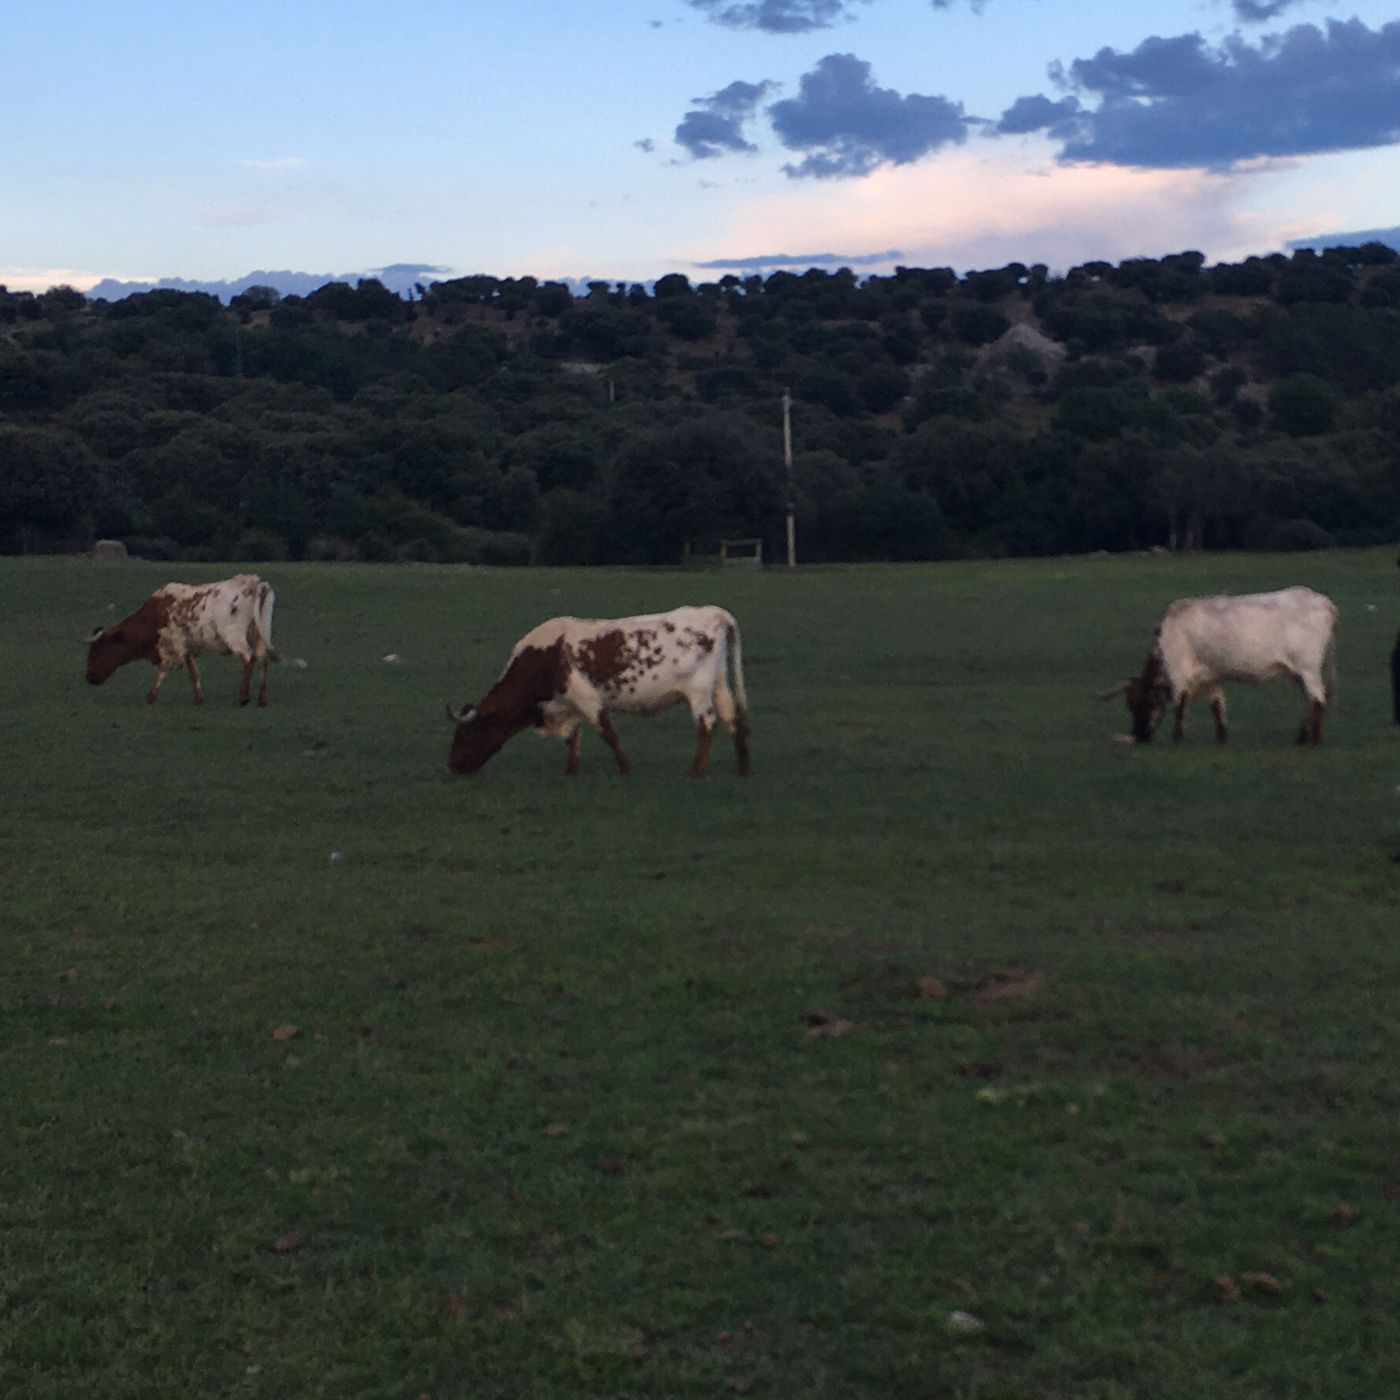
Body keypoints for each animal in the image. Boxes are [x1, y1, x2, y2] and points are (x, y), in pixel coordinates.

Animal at [86, 574, 279, 706]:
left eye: (98, 649)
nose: (88, 677)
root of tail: (254, 582)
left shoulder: (171, 645)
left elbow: (163, 669)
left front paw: (151, 696)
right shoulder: (186, 647)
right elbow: (193, 672)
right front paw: (198, 698)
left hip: (235, 637)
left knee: (249, 659)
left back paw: (244, 696)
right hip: (260, 634)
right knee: (263, 659)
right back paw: (262, 699)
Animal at [447, 606, 750, 777]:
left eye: (465, 733)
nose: (452, 766)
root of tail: (711, 612)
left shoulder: (588, 699)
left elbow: (608, 734)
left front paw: (625, 770)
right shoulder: (568, 705)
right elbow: (573, 739)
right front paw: (571, 772)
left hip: (698, 692)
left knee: (707, 725)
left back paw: (695, 772)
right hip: (719, 685)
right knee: (732, 718)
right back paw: (742, 767)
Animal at [1098, 586, 1338, 746]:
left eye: (1144, 703)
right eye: (1129, 705)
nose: (1138, 736)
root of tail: (1320, 600)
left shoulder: (1179, 673)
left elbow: (1180, 706)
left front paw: (1177, 737)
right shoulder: (1212, 676)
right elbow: (1216, 706)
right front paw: (1221, 737)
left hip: (1308, 669)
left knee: (1317, 699)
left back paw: (1314, 741)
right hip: (1299, 673)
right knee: (1309, 700)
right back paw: (1301, 737)